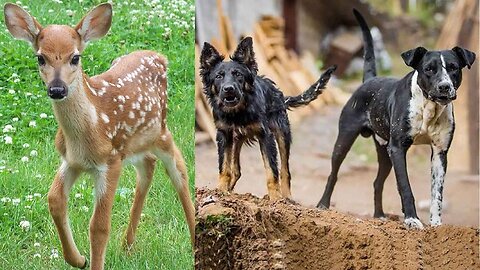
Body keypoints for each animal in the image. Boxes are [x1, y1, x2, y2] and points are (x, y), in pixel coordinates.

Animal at [198, 37, 334, 199]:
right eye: (218, 76)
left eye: (238, 74)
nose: (228, 89)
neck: (238, 112)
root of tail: (280, 95)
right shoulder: (224, 134)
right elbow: (224, 167)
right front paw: (220, 190)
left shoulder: (266, 136)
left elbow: (271, 170)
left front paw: (275, 198)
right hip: (237, 139)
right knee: (236, 170)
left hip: (282, 133)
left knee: (285, 170)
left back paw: (286, 197)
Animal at [316, 9, 474, 228]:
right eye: (429, 68)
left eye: (453, 68)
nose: (444, 87)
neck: (428, 108)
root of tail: (369, 79)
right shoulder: (398, 148)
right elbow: (405, 187)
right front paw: (412, 220)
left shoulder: (440, 153)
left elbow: (437, 193)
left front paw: (436, 225)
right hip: (345, 140)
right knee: (333, 174)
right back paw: (322, 205)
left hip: (384, 151)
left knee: (377, 182)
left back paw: (379, 215)